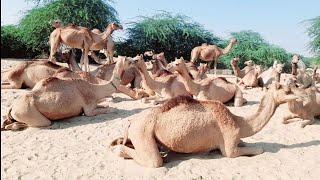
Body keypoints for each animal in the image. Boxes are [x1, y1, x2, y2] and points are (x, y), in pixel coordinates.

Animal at [0, 54, 130, 131]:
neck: (94, 88)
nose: (133, 59)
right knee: (40, 123)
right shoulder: (89, 109)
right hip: (28, 113)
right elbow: (109, 109)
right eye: (128, 61)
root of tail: (12, 107)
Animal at [110, 81, 308, 167]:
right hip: (142, 131)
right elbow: (258, 149)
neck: (238, 121)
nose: (304, 95)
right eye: (288, 89)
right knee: (154, 161)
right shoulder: (229, 148)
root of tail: (131, 122)